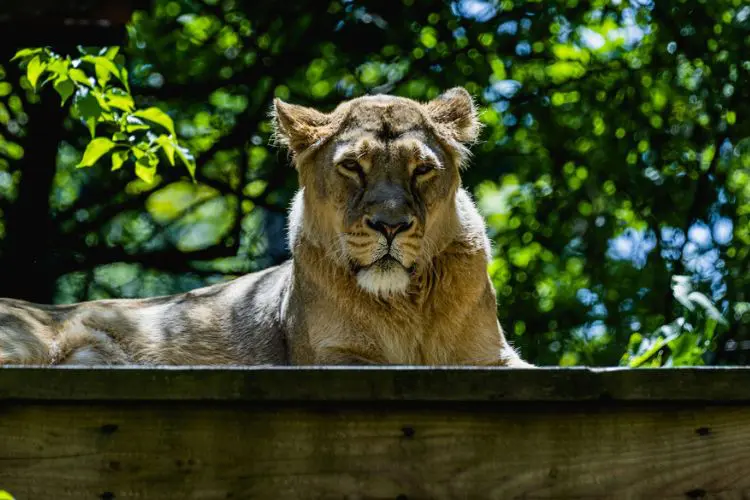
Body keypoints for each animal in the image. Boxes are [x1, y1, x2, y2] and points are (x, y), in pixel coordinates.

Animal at [0, 88, 530, 367]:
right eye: (352, 167)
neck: (406, 303)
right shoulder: (331, 357)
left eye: (421, 169)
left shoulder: (492, 358)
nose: (390, 226)